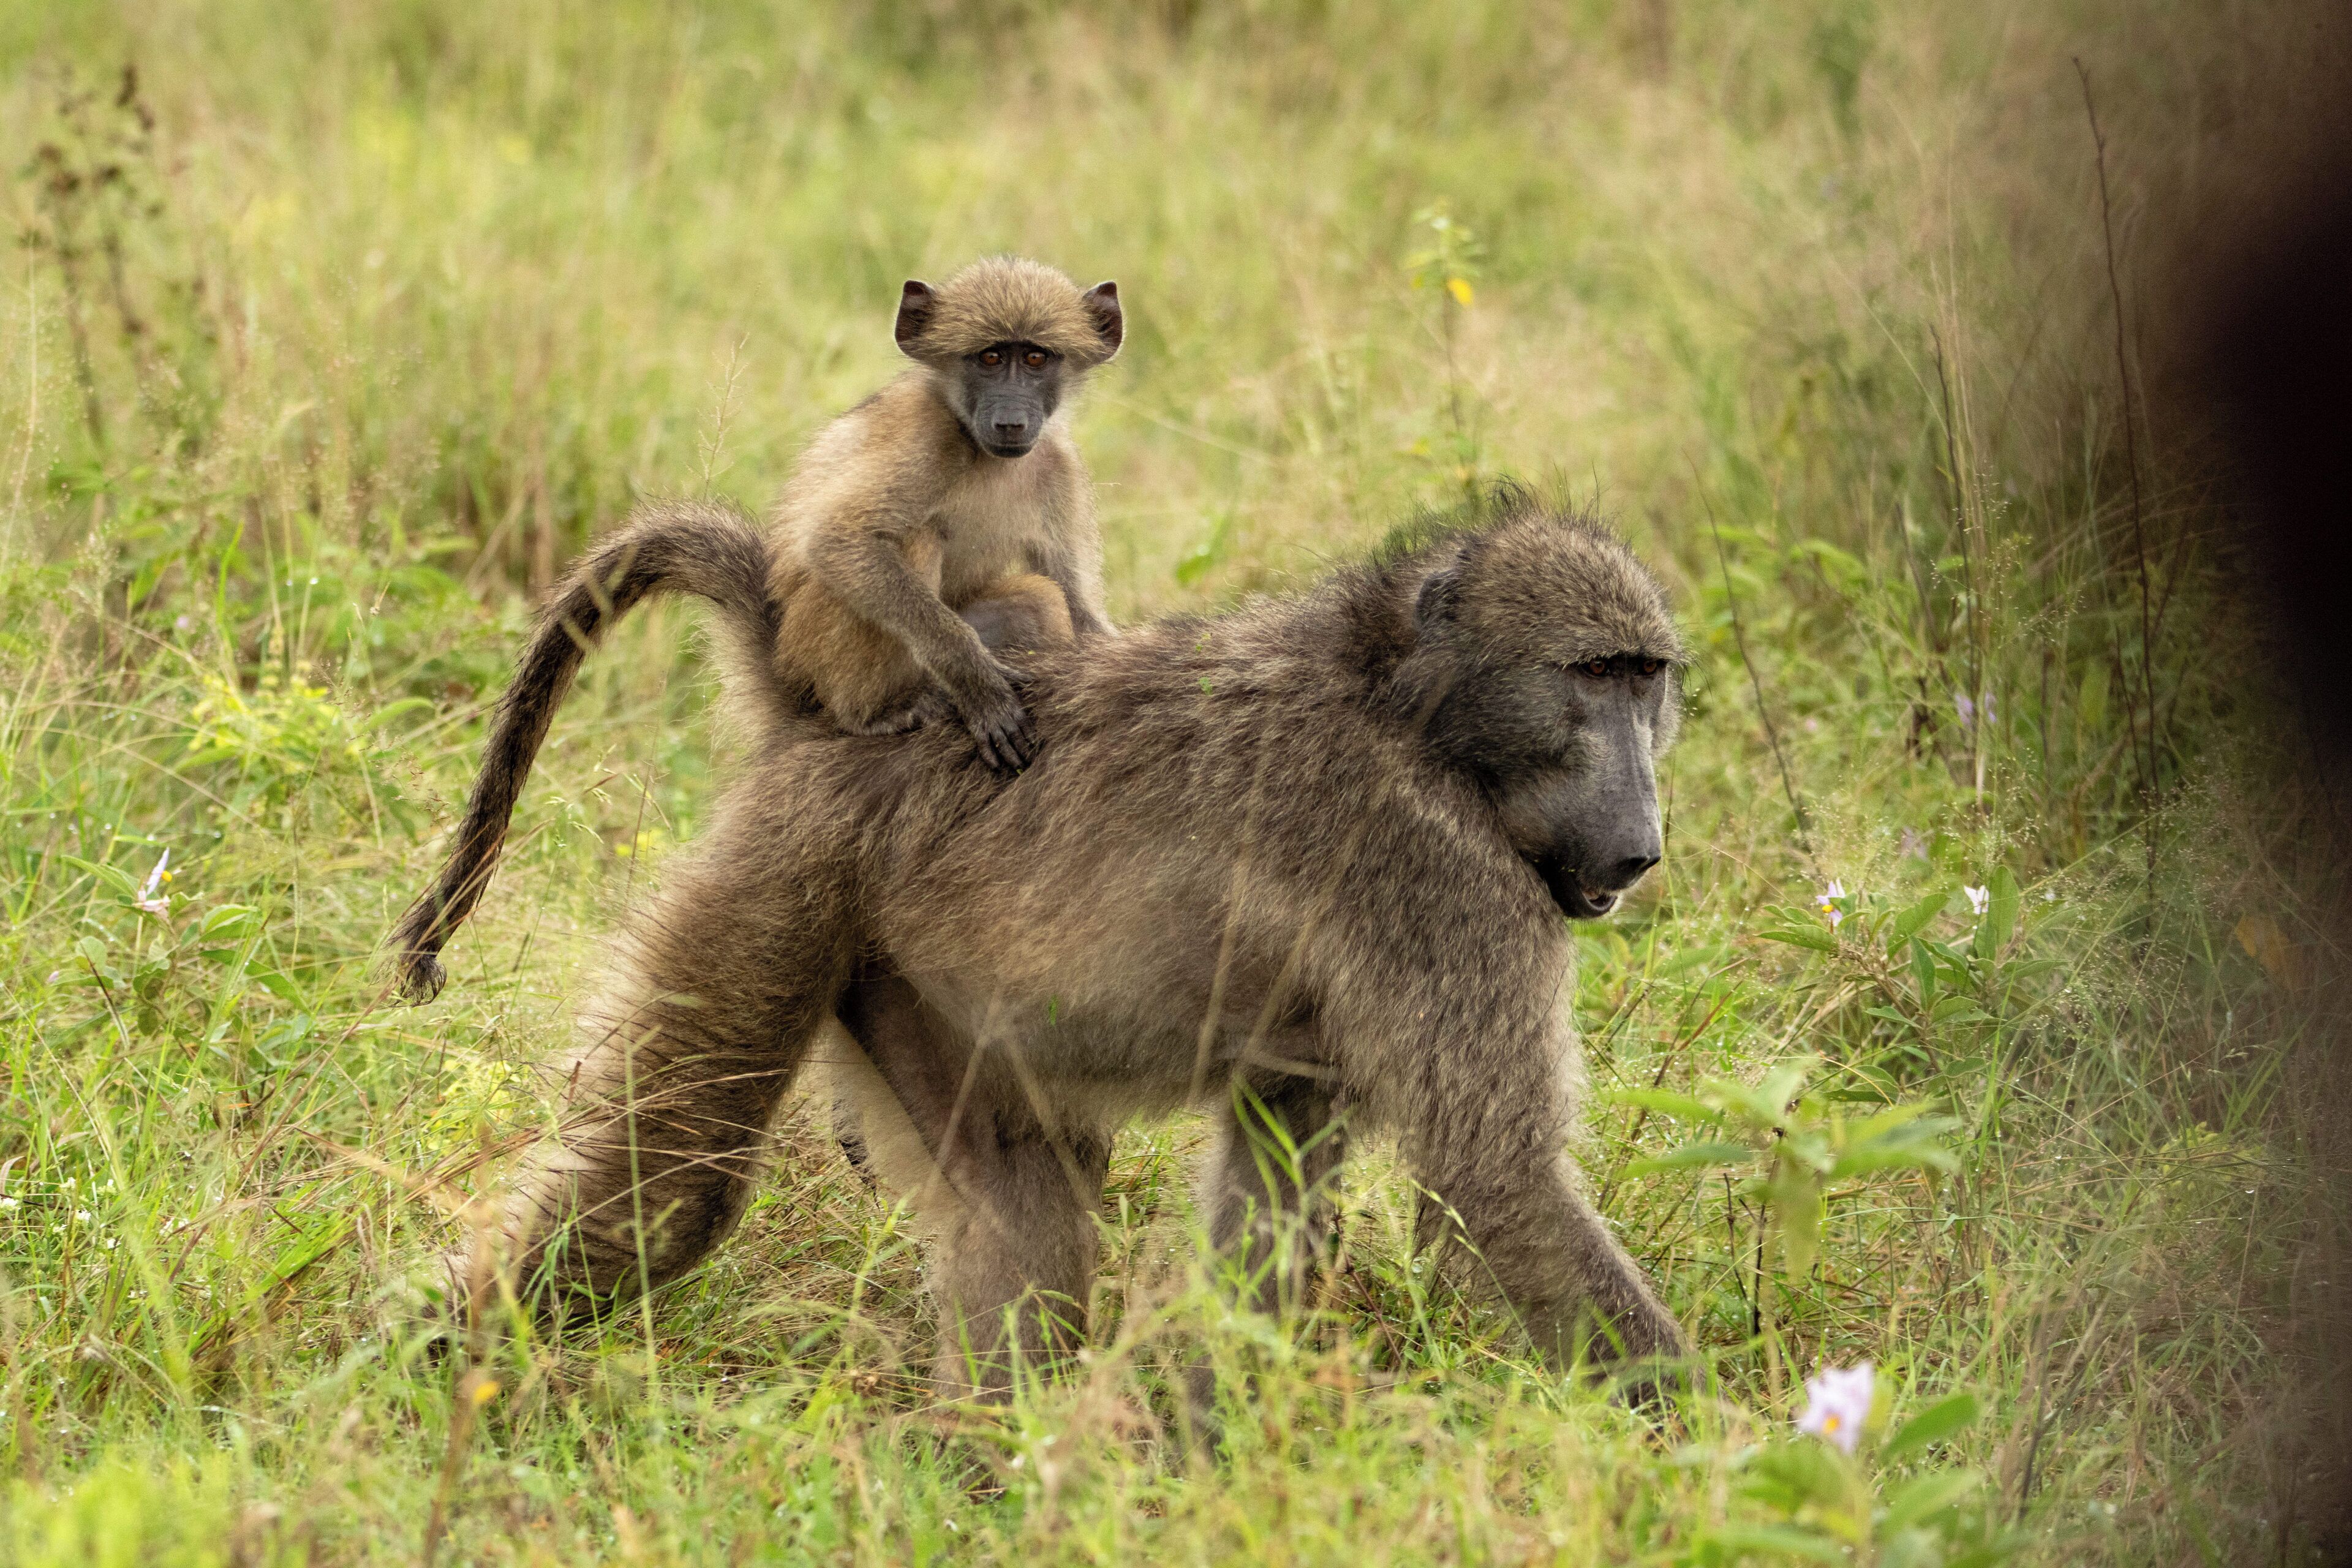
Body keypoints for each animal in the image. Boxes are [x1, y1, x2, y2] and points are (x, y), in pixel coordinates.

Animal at [386, 257, 1122, 1001]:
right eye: (990, 358)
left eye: (1036, 358)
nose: (1012, 418)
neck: (986, 454)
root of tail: (794, 673)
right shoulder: (925, 445)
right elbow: (841, 544)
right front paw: (983, 692)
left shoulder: (1058, 470)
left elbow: (1075, 599)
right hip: (827, 651)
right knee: (908, 545)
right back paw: (884, 712)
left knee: (1038, 601)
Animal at [428, 492, 1694, 1403]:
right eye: (1592, 675)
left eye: (1649, 682)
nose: (1641, 847)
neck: (1415, 711)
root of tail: (831, 719)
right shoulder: (1440, 883)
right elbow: (1500, 1181)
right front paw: (1703, 1454)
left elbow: (1267, 1227)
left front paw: (1199, 1460)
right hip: (776, 889)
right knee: (676, 1193)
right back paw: (421, 1362)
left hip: (906, 976)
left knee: (1020, 1213)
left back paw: (990, 1474)